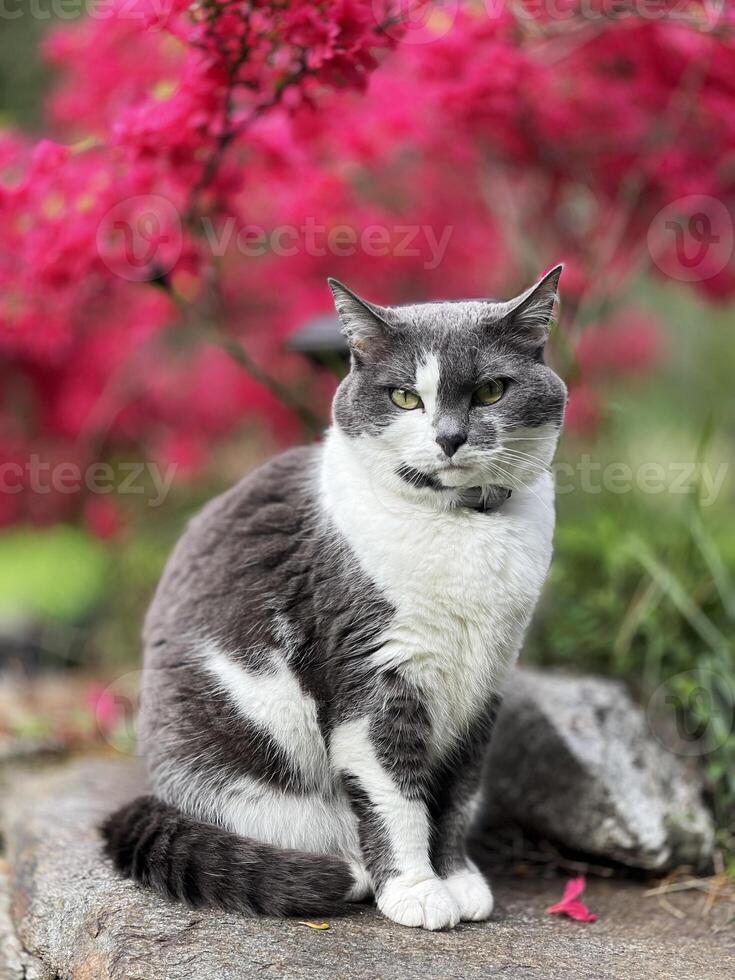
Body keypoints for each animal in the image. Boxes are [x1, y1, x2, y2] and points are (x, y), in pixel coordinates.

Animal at [100, 264, 568, 932]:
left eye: (491, 391)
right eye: (405, 398)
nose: (450, 438)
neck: (463, 524)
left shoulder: (487, 681)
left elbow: (458, 790)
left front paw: (457, 879)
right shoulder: (372, 675)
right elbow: (396, 794)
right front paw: (416, 891)